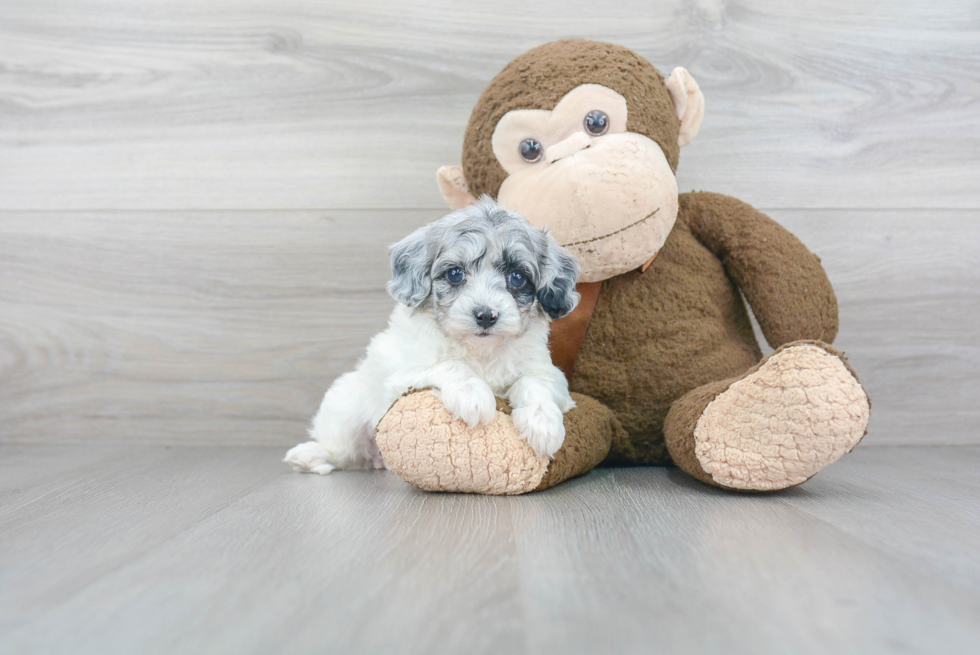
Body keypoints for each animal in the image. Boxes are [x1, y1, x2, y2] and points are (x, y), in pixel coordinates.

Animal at [288, 197, 584, 474]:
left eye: (517, 277)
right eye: (455, 274)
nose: (485, 315)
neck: (480, 350)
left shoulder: (550, 375)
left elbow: (533, 383)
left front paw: (543, 422)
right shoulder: (403, 374)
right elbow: (451, 364)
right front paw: (472, 394)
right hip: (346, 407)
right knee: (341, 450)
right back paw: (310, 456)